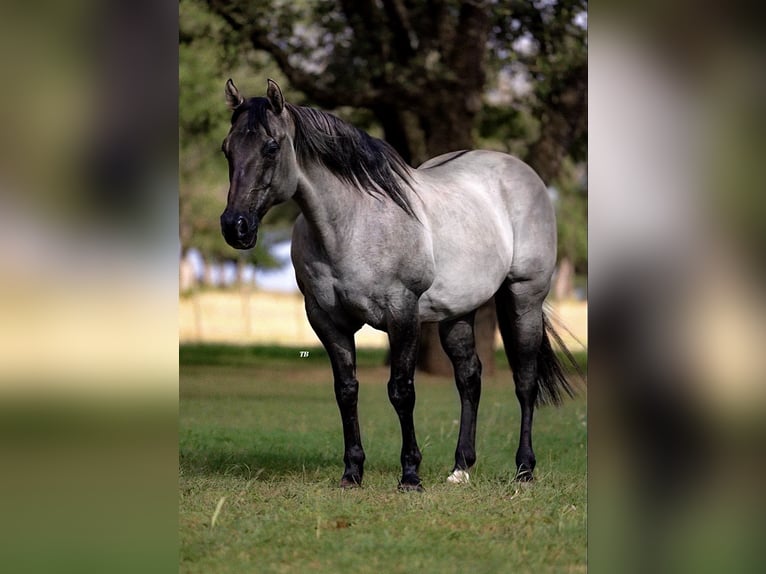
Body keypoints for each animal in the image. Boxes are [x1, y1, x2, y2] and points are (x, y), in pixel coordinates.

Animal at [219, 79, 580, 492]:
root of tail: (520, 171)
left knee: (524, 380)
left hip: (524, 297)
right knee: (469, 378)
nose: (235, 227)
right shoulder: (326, 320)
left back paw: (524, 469)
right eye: (227, 148)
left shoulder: (402, 313)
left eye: (271, 146)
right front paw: (352, 473)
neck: (352, 224)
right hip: (458, 312)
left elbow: (401, 390)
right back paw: (460, 468)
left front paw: (410, 475)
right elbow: (346, 390)